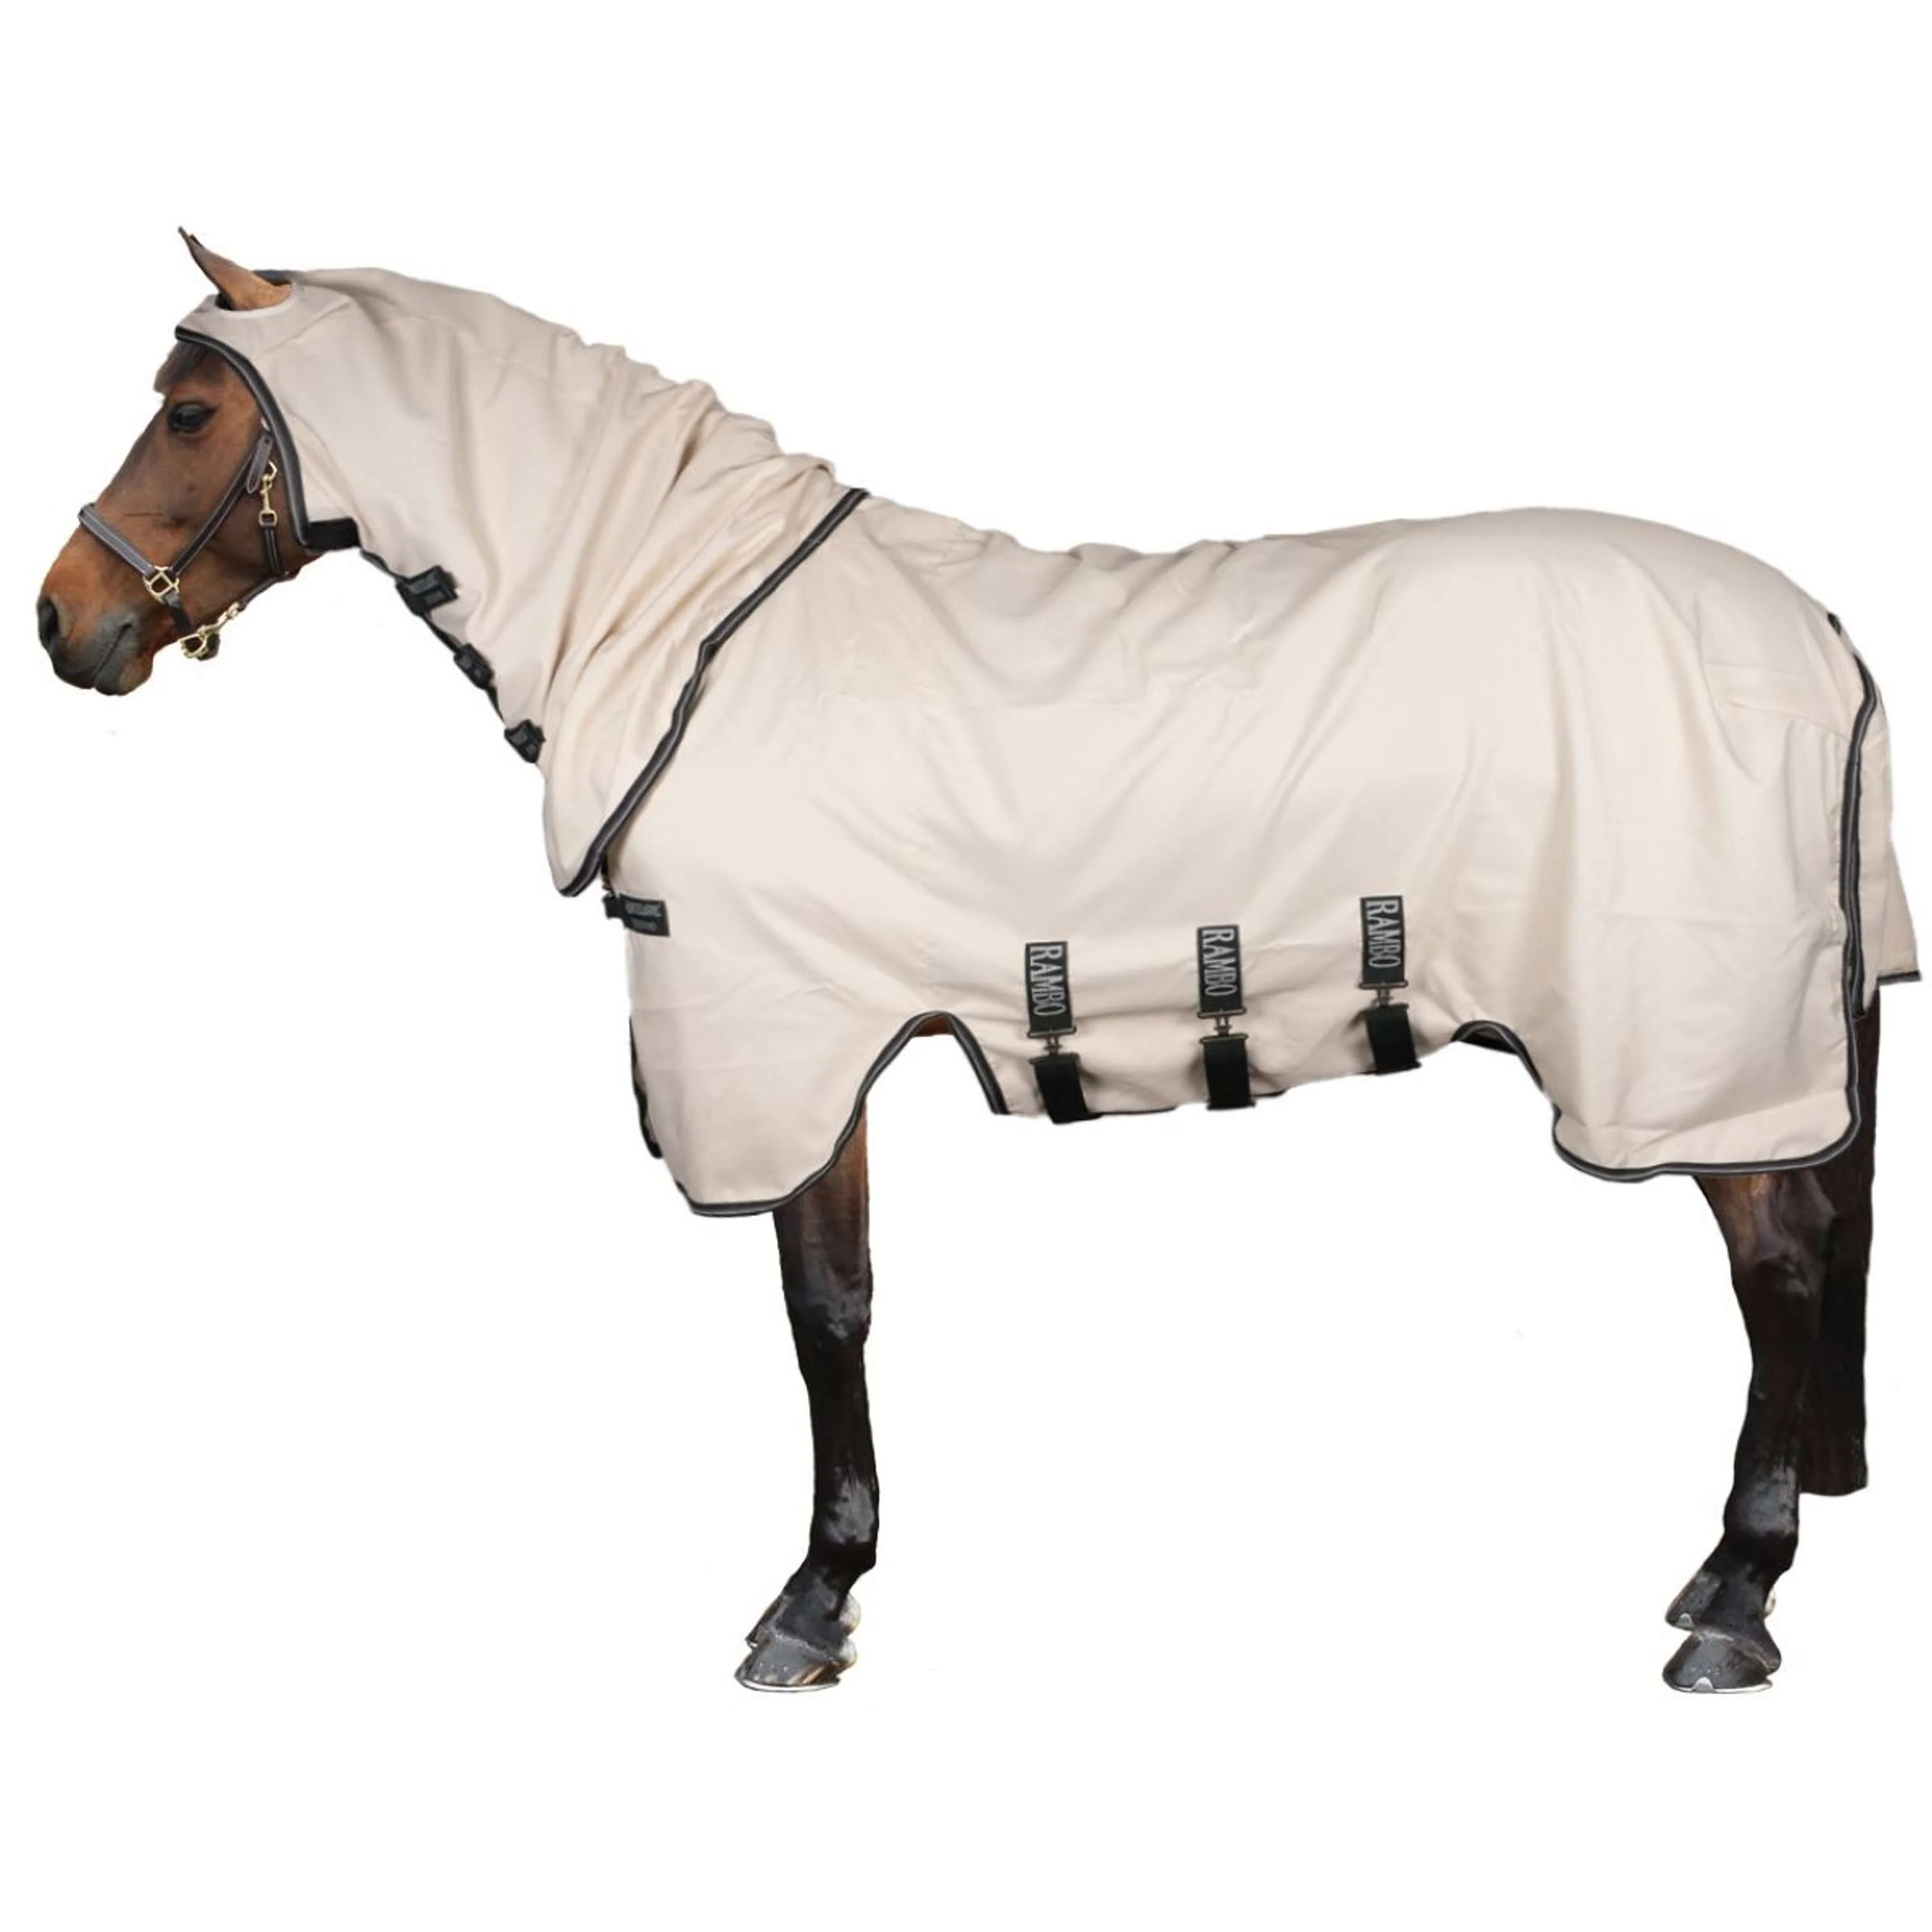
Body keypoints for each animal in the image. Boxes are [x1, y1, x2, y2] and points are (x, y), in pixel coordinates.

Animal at [37, 232, 1916, 1693]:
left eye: (191, 409)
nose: (65, 623)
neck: (695, 626)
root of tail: (1818, 635)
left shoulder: (782, 1046)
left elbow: (825, 1311)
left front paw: (810, 1602)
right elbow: (841, 1303)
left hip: (1679, 1047)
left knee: (1781, 1267)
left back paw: (1733, 1600)